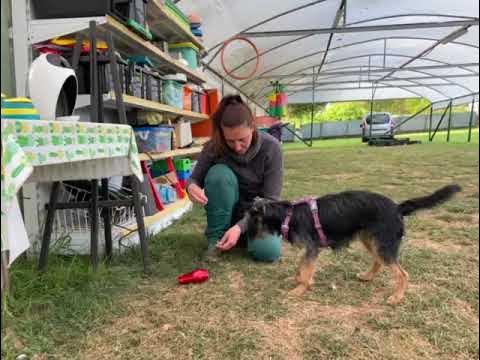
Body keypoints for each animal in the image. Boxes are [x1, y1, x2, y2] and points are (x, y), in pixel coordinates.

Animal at [244, 184, 462, 306]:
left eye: (250, 218)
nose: (245, 236)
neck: (288, 215)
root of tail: (397, 208)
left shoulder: (312, 248)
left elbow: (306, 269)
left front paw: (300, 288)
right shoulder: (310, 249)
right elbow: (302, 267)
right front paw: (299, 280)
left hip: (382, 244)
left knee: (402, 274)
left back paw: (396, 297)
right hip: (371, 240)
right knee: (378, 261)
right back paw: (367, 277)